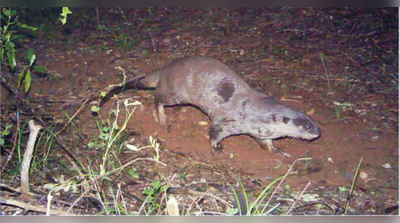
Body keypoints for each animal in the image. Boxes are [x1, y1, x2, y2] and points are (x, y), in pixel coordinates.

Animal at [101, 55, 320, 157]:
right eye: (306, 125)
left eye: (312, 122)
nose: (318, 133)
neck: (256, 114)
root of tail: (166, 70)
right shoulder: (229, 121)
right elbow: (214, 132)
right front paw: (217, 147)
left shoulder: (261, 133)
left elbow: (266, 145)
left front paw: (280, 152)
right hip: (175, 93)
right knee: (157, 99)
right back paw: (162, 120)